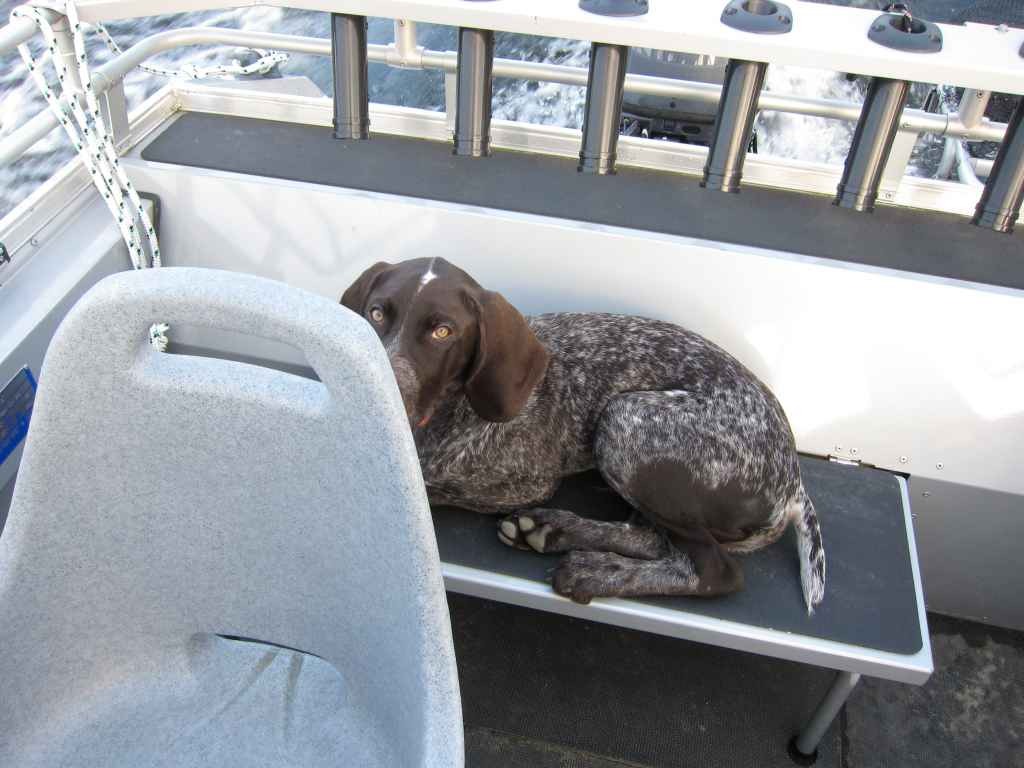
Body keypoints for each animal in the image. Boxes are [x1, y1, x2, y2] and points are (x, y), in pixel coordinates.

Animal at [342, 257, 825, 611]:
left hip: (626, 419)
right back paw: (554, 531)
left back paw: (595, 571)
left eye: (443, 331)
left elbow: (420, 488)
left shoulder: (525, 482)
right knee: (651, 537)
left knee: (712, 569)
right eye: (377, 313)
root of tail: (792, 482)